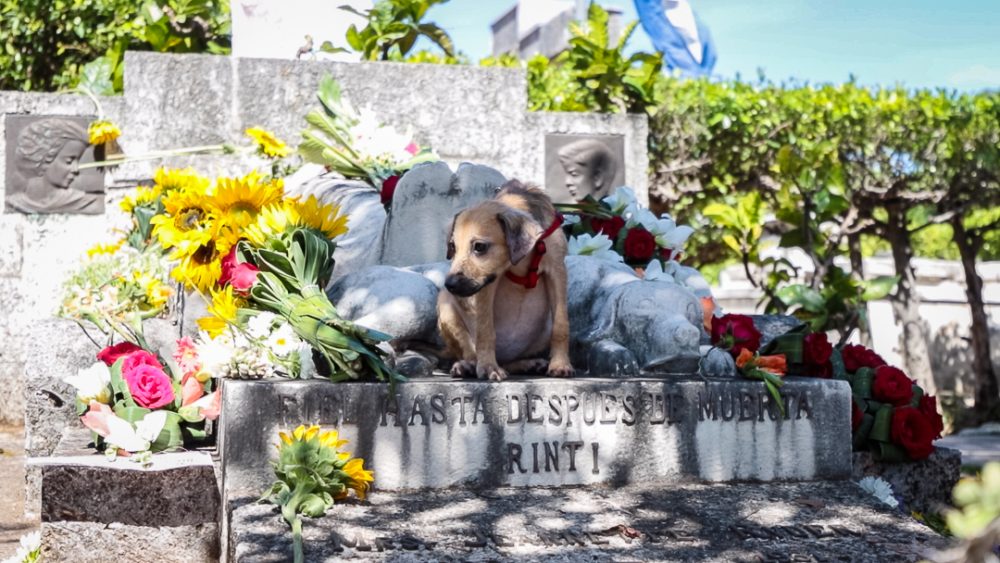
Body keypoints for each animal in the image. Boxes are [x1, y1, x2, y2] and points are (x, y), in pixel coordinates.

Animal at [436, 181, 572, 382]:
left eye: (479, 247)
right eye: (452, 247)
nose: (450, 285)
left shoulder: (557, 271)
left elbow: (561, 325)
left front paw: (560, 364)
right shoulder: (488, 283)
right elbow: (485, 330)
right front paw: (488, 367)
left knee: (510, 361)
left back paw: (527, 364)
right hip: (445, 305)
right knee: (469, 351)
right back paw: (468, 365)